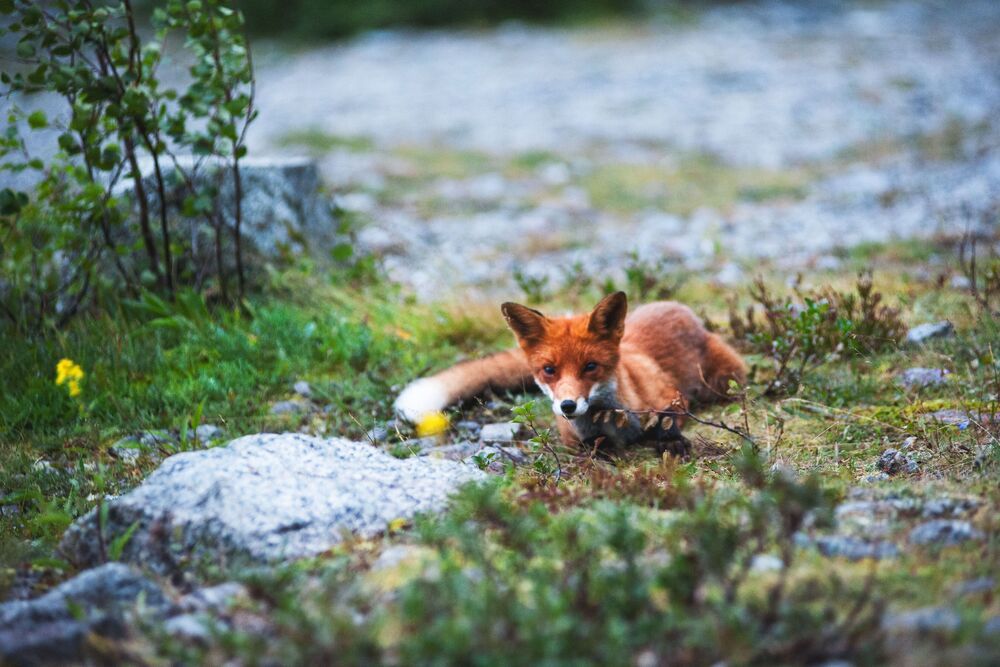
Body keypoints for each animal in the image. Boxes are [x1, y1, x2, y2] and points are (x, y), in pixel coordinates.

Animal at [394, 292, 747, 452]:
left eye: (591, 367)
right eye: (549, 370)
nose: (567, 406)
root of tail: (674, 305)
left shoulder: (671, 394)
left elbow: (667, 420)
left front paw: (671, 443)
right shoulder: (570, 438)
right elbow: (592, 445)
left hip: (724, 380)